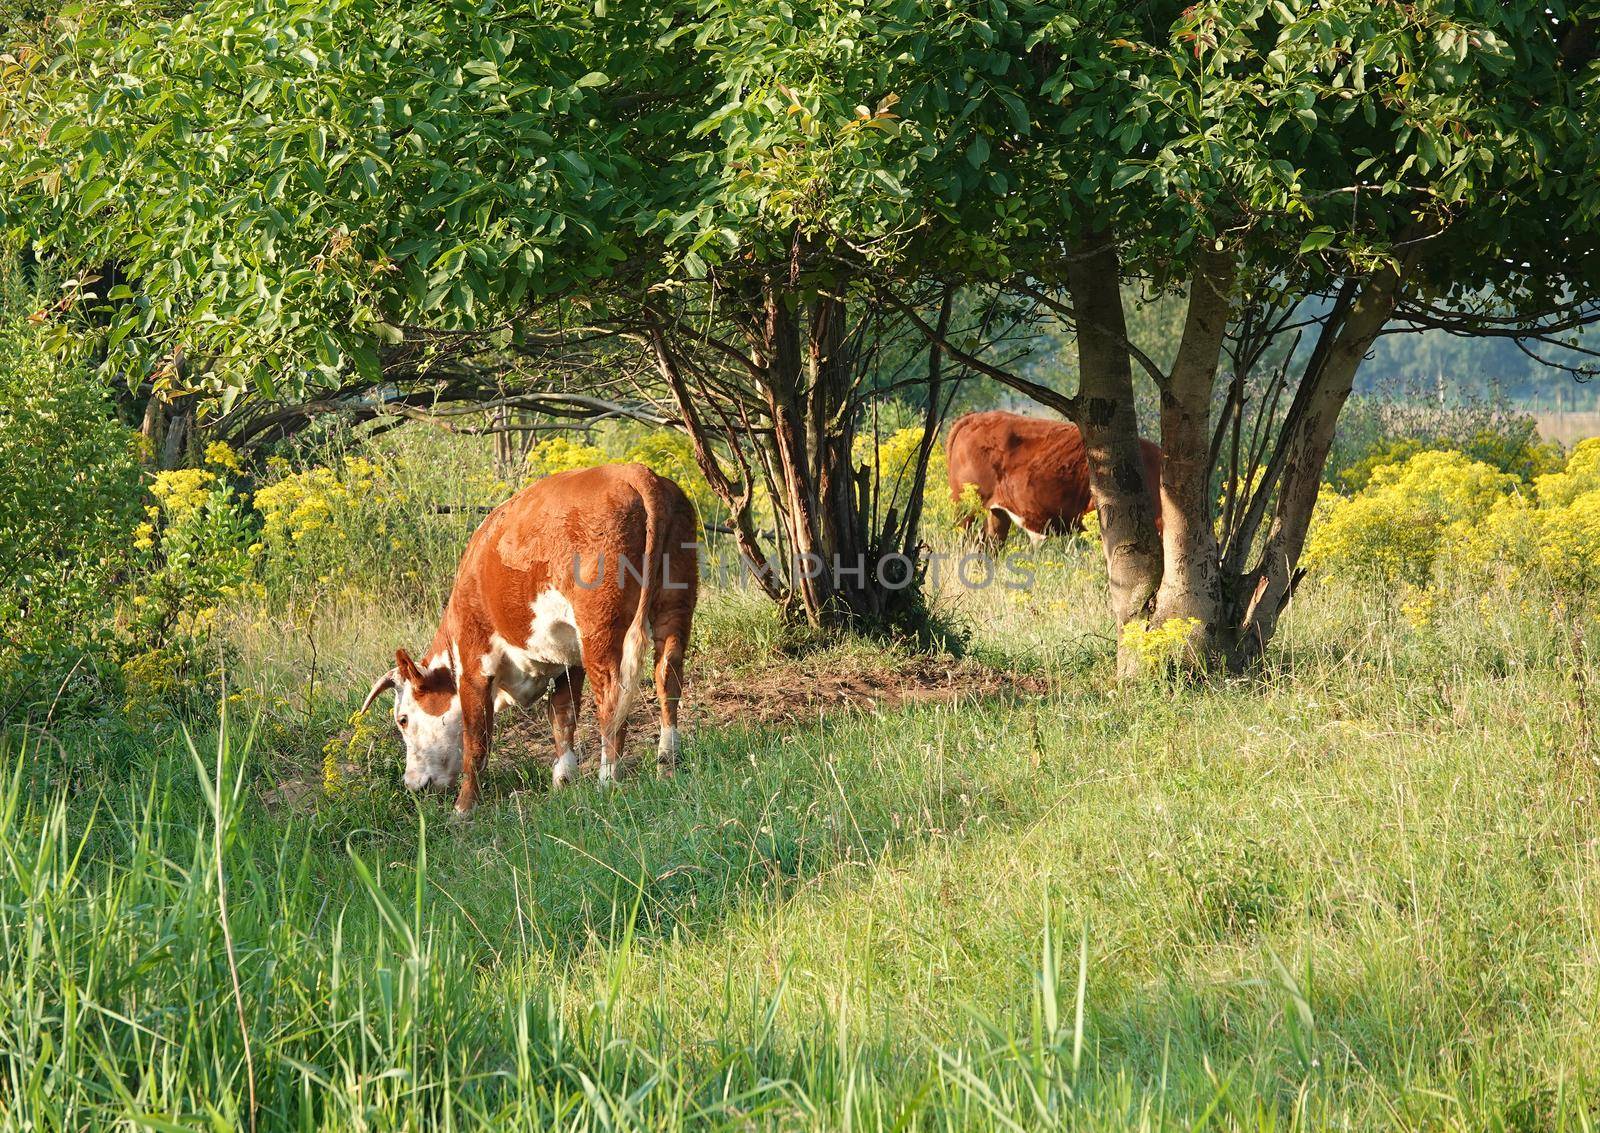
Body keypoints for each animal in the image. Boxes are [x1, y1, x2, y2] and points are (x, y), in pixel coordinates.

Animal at [364, 464, 700, 812]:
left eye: (403, 719)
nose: (412, 785)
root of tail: (635, 471)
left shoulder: (474, 663)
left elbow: (475, 738)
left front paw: (464, 807)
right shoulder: (568, 657)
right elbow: (562, 714)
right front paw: (564, 779)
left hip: (599, 628)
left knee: (611, 698)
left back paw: (608, 780)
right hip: (675, 604)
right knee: (668, 677)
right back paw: (667, 761)